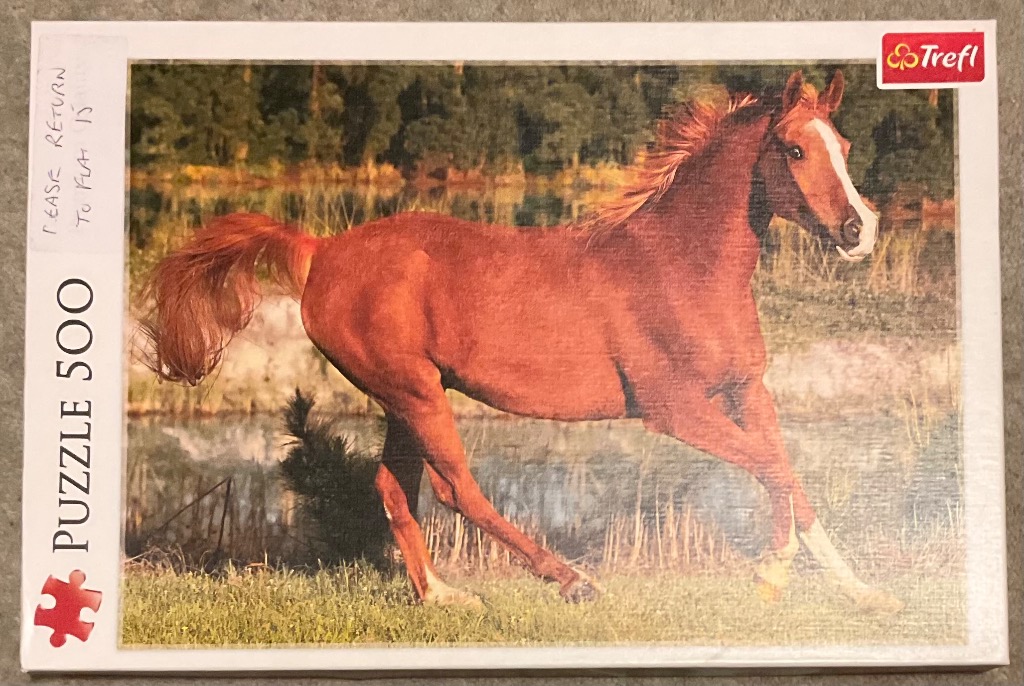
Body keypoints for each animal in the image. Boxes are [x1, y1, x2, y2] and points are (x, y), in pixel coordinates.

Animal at [140, 69, 901, 613]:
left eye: (845, 147)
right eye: (794, 149)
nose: (859, 230)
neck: (680, 265)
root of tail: (320, 251)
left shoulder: (747, 389)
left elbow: (791, 477)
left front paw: (862, 592)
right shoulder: (673, 408)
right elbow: (771, 469)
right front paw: (771, 575)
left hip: (404, 397)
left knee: (395, 487)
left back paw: (443, 597)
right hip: (415, 393)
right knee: (456, 490)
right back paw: (572, 582)